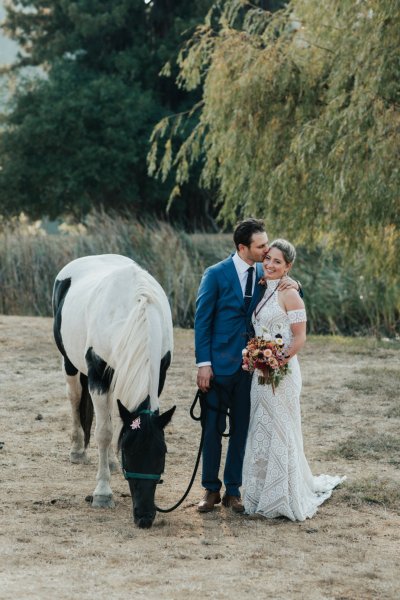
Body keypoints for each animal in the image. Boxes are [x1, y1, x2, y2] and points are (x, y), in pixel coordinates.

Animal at [51, 255, 175, 528]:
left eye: (162, 453)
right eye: (129, 453)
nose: (144, 517)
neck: (135, 310)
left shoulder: (158, 373)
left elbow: (118, 424)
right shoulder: (98, 374)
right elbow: (105, 433)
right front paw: (102, 494)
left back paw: (108, 461)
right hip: (70, 364)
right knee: (75, 399)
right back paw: (77, 450)